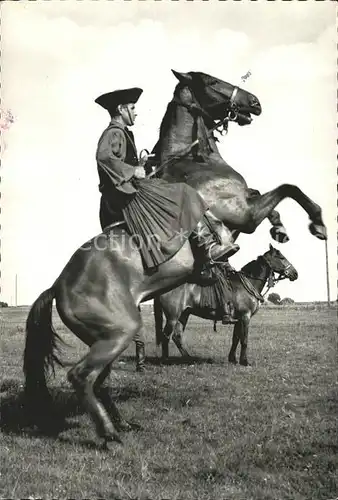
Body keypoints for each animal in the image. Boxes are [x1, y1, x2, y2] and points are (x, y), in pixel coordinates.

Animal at [154, 244, 298, 366]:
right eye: (281, 257)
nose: (295, 274)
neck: (248, 284)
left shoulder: (239, 319)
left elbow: (236, 339)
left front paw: (232, 359)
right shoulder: (245, 317)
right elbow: (244, 340)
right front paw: (245, 361)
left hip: (184, 314)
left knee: (177, 336)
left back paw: (189, 359)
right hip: (173, 317)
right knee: (166, 336)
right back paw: (165, 361)